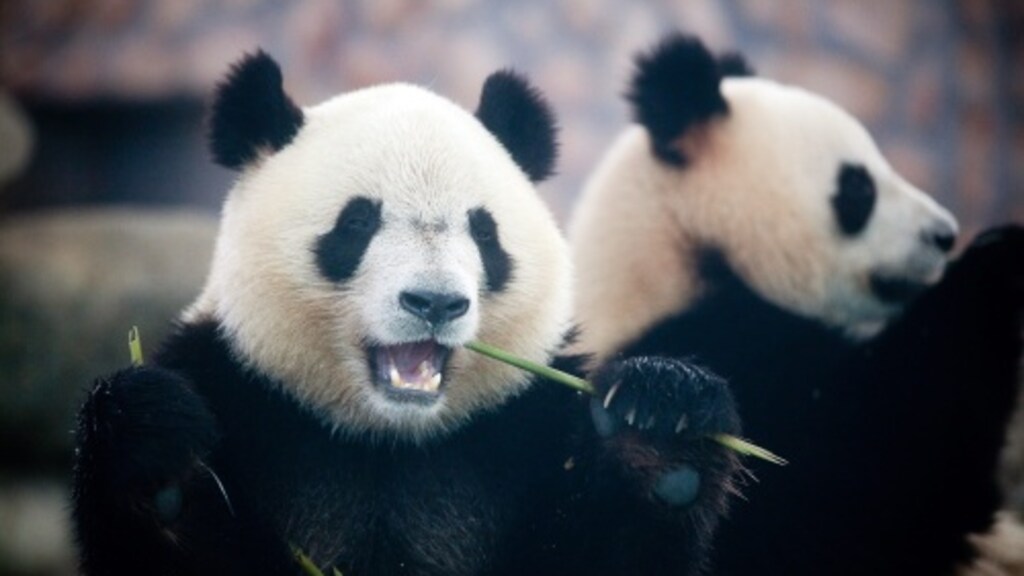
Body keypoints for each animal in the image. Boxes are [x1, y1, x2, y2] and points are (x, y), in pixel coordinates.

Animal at [71, 51, 746, 576]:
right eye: (357, 223)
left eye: (484, 232)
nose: (435, 302)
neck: (391, 436)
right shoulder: (238, 387)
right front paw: (159, 461)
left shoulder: (526, 423)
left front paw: (660, 427)